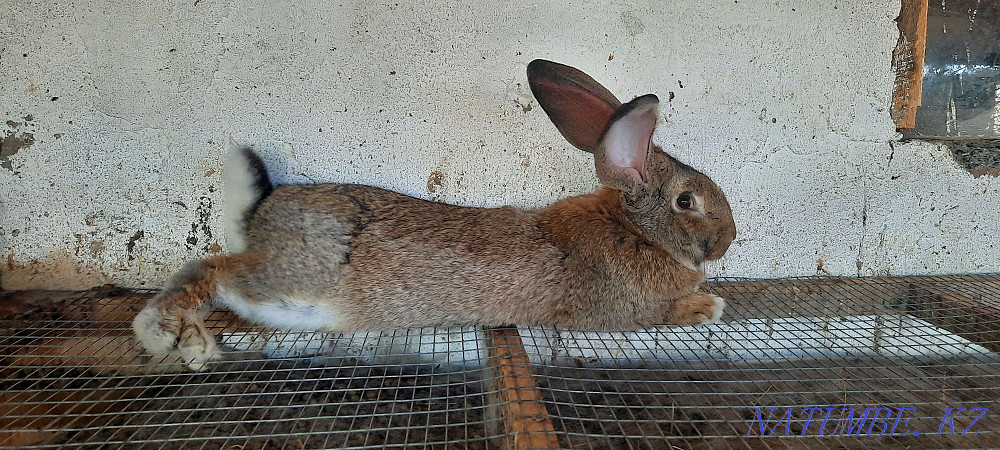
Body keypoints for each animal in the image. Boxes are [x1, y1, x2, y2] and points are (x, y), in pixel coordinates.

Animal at [132, 59, 737, 367]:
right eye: (687, 201)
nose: (730, 239)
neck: (636, 230)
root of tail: (262, 206)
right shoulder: (616, 311)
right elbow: (663, 314)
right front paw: (709, 305)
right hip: (290, 277)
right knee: (210, 269)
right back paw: (172, 338)